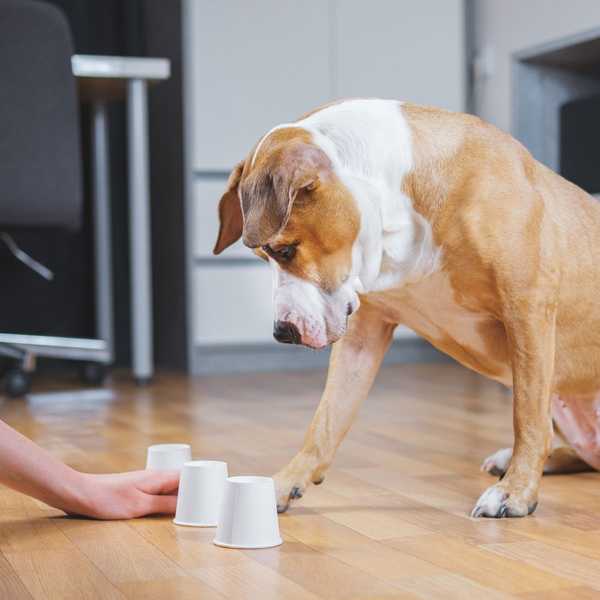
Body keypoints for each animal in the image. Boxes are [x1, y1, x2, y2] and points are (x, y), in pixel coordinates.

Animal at [213, 99, 596, 520]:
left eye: (284, 250)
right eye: (262, 255)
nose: (283, 332)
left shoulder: (526, 307)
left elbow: (526, 415)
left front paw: (516, 492)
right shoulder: (363, 335)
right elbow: (326, 420)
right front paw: (284, 482)